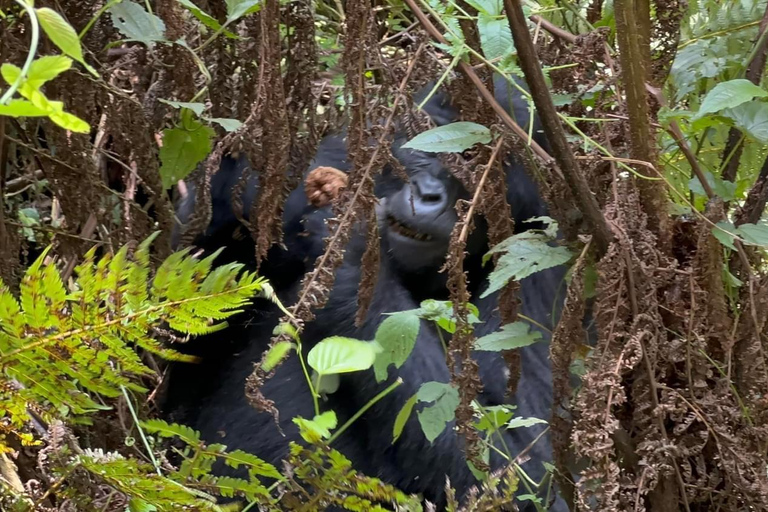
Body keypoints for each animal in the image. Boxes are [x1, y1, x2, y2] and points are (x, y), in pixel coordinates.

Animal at [164, 74, 568, 510]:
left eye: (477, 163)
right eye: (428, 144)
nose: (429, 194)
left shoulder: (544, 271)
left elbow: (527, 474)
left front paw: (353, 250)